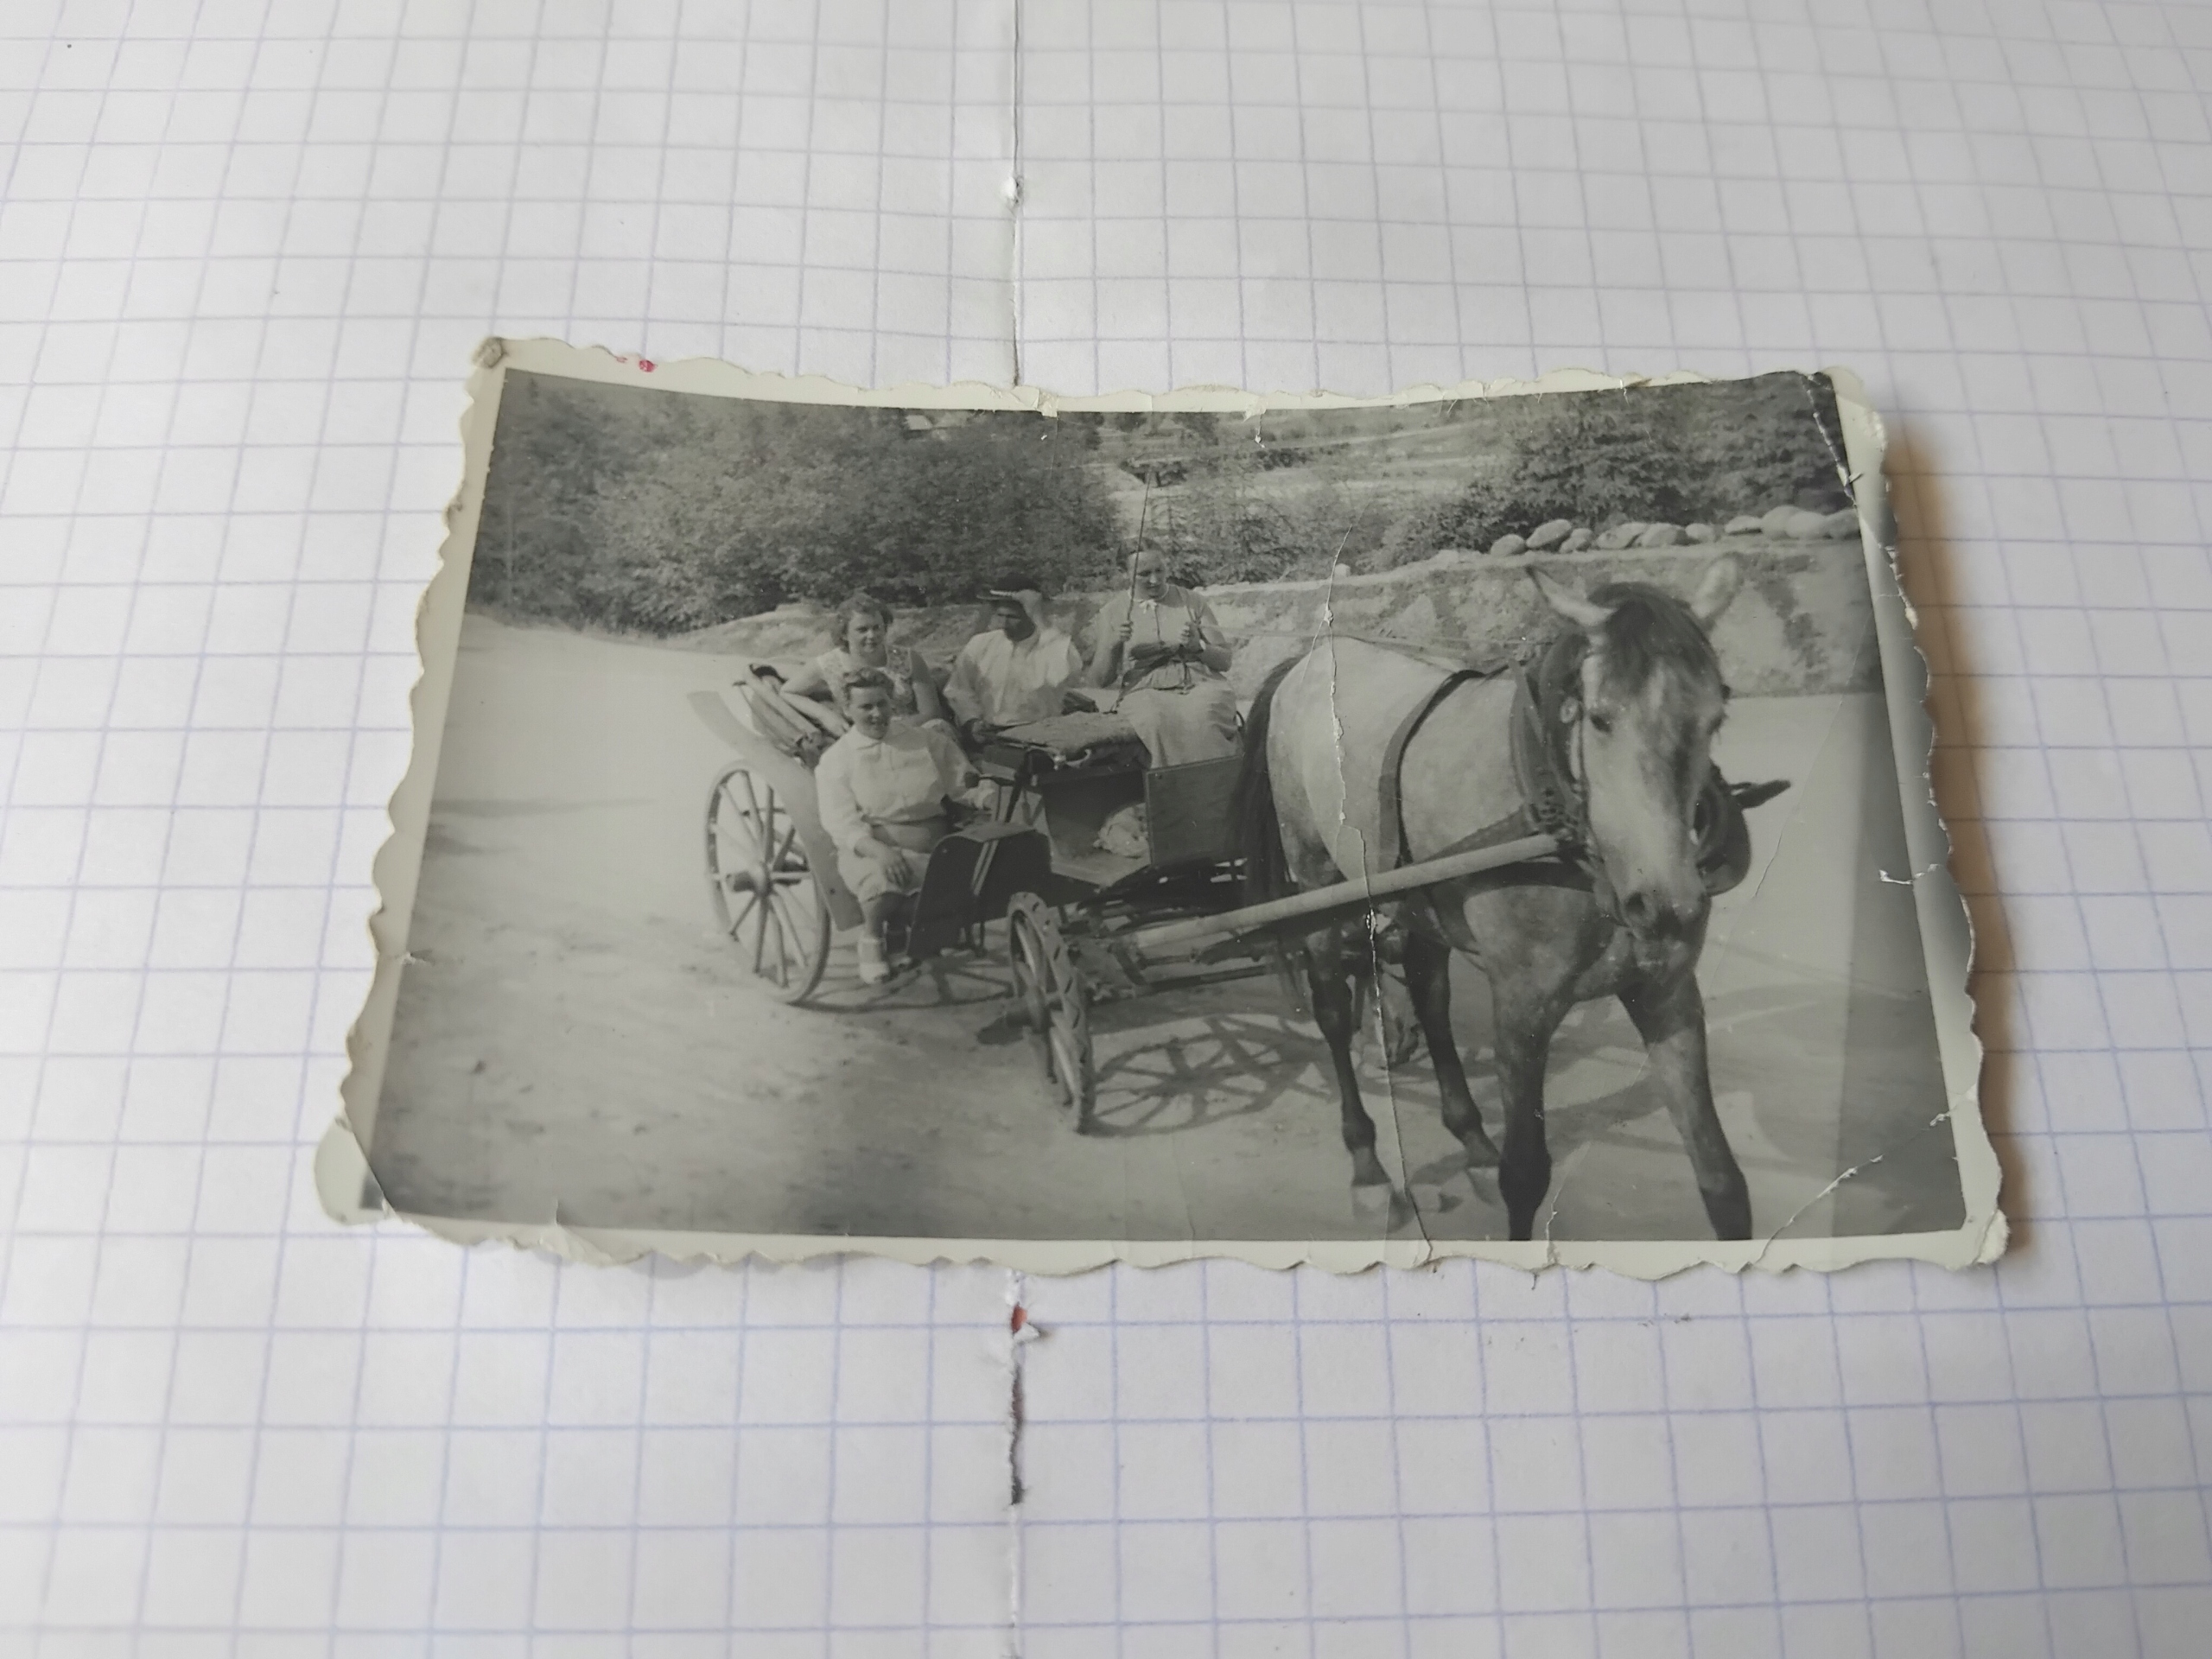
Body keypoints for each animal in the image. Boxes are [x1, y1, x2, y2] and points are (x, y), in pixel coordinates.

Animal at [1232, 556, 1756, 1241]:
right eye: (1600, 718)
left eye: (1714, 718)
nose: (1666, 905)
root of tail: (1308, 660)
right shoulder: (1522, 1011)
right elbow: (1526, 1176)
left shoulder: (1668, 996)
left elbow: (1722, 1180)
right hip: (1315, 878)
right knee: (1333, 1013)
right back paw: (1369, 1167)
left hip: (1417, 894)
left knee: (1430, 995)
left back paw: (1471, 1139)